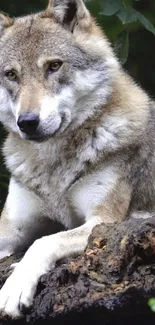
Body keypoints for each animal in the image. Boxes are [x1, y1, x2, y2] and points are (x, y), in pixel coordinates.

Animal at [0, 0, 154, 316]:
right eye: (11, 75)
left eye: (54, 66)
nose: (27, 122)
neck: (52, 165)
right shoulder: (10, 231)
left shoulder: (103, 221)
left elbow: (43, 242)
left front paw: (14, 288)